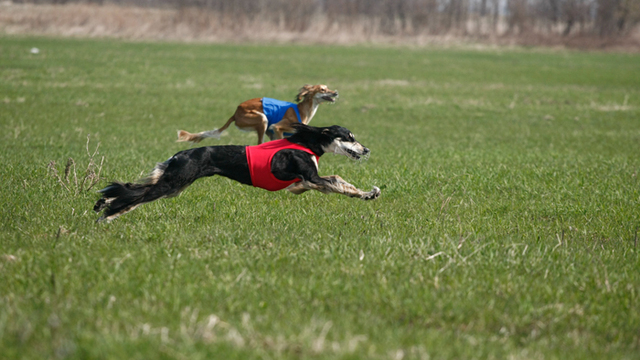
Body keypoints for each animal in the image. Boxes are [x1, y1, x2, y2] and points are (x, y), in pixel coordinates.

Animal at [95, 124, 380, 222]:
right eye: (349, 137)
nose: (366, 149)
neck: (307, 142)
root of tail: (180, 154)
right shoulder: (312, 177)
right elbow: (338, 182)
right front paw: (368, 193)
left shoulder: (304, 182)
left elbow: (317, 185)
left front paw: (369, 193)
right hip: (174, 182)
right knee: (136, 196)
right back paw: (107, 215)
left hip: (175, 183)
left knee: (133, 191)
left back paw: (105, 204)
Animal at [175, 84, 336, 145]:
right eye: (322, 89)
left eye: (328, 87)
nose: (335, 93)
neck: (302, 110)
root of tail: (236, 112)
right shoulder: (277, 127)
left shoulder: (273, 132)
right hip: (261, 119)